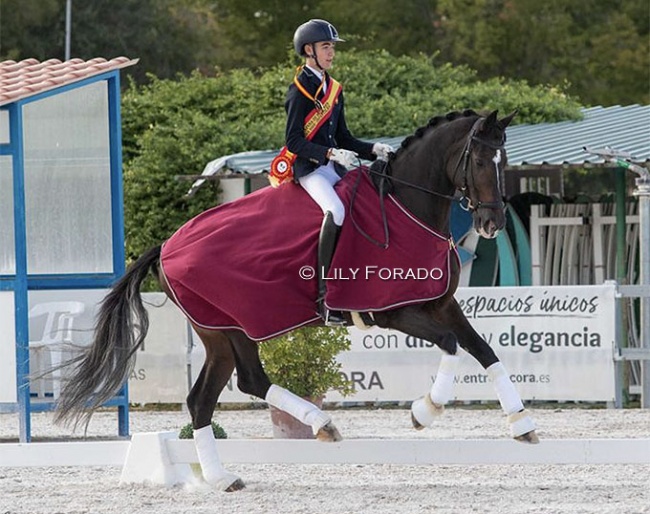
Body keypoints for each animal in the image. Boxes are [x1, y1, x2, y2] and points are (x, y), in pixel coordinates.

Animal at [57, 109, 536, 488]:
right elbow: (453, 347)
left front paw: (522, 423)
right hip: (228, 327)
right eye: (479, 160)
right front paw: (425, 410)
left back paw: (235, 470)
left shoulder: (440, 304)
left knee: (217, 394)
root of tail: (166, 247)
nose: (492, 223)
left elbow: (485, 351)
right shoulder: (392, 313)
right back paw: (298, 435)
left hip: (222, 334)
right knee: (232, 387)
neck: (406, 205)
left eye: (505, 161)